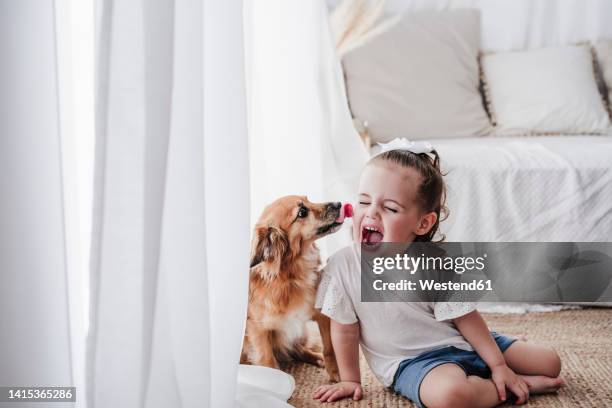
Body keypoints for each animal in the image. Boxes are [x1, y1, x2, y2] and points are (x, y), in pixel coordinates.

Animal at [241, 196, 342, 380]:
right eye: (302, 212)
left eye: (308, 200)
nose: (339, 204)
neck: (291, 277)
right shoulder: (258, 331)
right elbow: (268, 362)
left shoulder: (321, 315)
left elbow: (330, 349)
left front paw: (337, 376)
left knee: (298, 349)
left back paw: (317, 358)